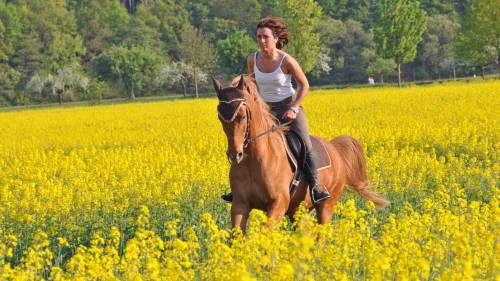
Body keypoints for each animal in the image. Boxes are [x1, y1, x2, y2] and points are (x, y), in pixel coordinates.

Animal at [213, 75, 388, 229]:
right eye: (220, 118)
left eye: (242, 116)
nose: (235, 154)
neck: (254, 159)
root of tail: (335, 149)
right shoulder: (239, 204)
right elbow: (237, 236)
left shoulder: (278, 203)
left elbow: (265, 231)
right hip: (299, 211)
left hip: (325, 207)